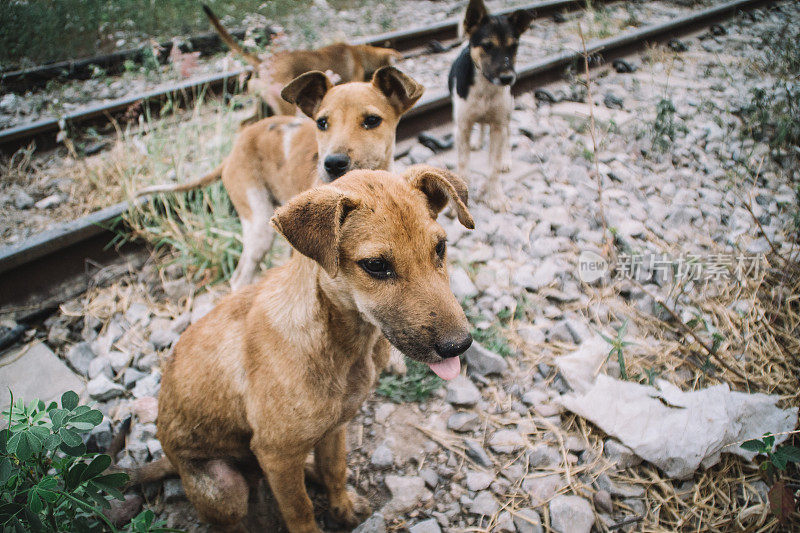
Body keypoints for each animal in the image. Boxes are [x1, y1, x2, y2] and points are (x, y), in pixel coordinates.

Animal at [132, 164, 476, 528]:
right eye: (376, 265)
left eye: (440, 247)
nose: (459, 345)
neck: (342, 345)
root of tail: (172, 461)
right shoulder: (277, 453)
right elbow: (299, 509)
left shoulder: (336, 428)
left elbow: (335, 469)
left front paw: (341, 507)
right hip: (225, 489)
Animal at [138, 67, 424, 290]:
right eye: (322, 123)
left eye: (372, 120)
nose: (332, 163)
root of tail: (233, 151)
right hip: (258, 228)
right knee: (240, 278)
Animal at [450, 0, 532, 209]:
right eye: (487, 46)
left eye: (514, 46)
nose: (507, 78)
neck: (485, 88)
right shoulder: (462, 126)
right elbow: (463, 165)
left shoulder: (497, 125)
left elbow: (493, 167)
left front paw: (495, 197)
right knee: (480, 126)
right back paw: (478, 142)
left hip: (507, 114)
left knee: (507, 134)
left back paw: (506, 159)